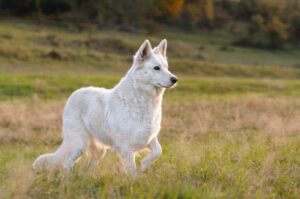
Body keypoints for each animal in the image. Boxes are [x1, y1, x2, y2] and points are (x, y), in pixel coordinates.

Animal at [32, 38, 177, 174]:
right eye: (156, 68)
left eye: (166, 67)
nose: (175, 79)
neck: (141, 99)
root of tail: (75, 93)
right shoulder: (126, 149)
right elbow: (132, 172)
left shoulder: (149, 138)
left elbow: (158, 151)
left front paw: (144, 164)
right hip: (80, 145)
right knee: (67, 165)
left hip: (98, 151)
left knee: (88, 167)